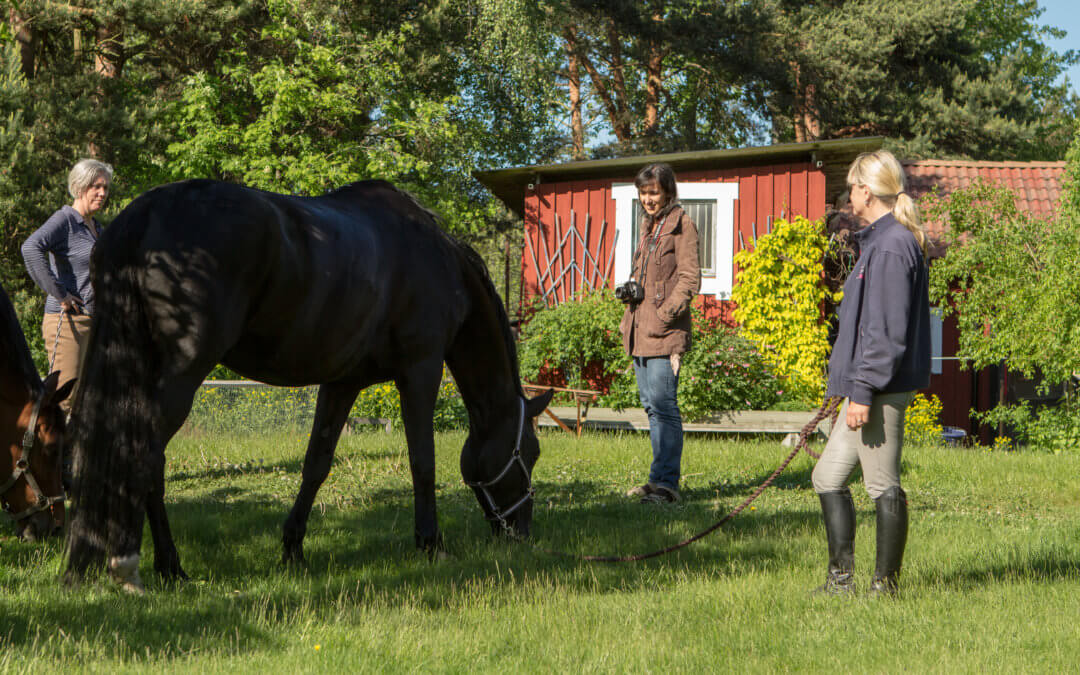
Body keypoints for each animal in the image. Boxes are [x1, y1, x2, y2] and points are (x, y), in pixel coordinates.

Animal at [66, 179, 552, 587]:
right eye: (530, 452)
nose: (523, 531)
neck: (438, 259)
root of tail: (143, 215)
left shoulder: (344, 382)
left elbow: (316, 463)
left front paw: (293, 548)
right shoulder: (422, 370)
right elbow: (423, 462)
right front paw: (431, 544)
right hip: (180, 377)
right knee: (144, 456)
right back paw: (152, 565)